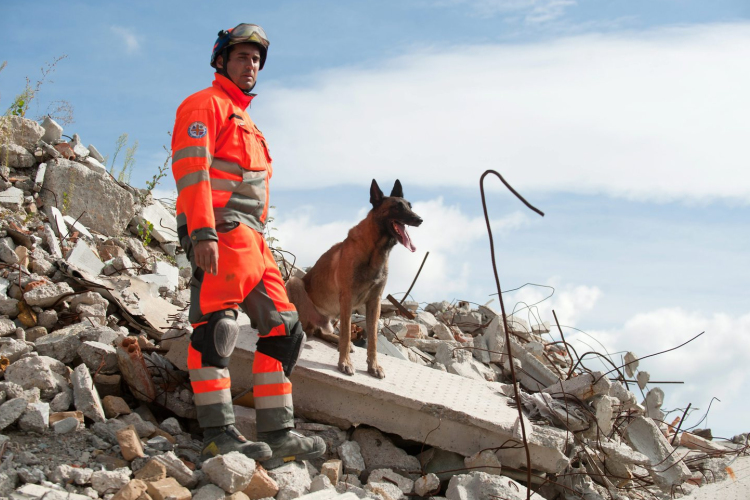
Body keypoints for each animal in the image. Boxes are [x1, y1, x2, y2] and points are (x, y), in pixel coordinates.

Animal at [284, 181, 424, 378]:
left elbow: (372, 338)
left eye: (410, 206)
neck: (376, 250)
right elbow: (346, 333)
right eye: (397, 207)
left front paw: (374, 366)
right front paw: (344, 363)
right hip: (295, 283)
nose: (419, 219)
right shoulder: (347, 298)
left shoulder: (374, 302)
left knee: (321, 332)